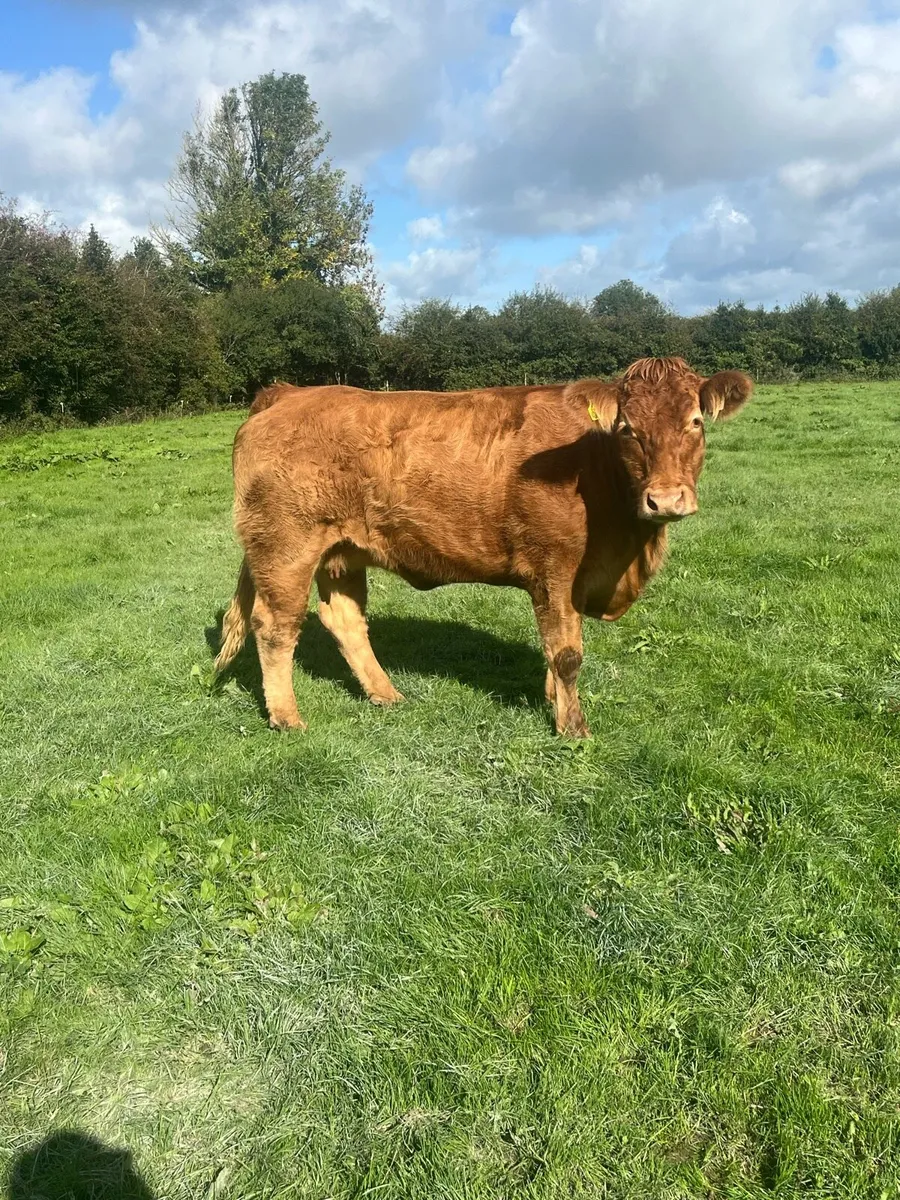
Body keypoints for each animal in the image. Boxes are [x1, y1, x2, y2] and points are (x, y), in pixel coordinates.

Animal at [214, 358, 752, 737]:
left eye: (696, 422)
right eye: (627, 429)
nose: (666, 499)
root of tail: (288, 393)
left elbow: (558, 647)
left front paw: (553, 701)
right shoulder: (553, 568)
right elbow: (567, 653)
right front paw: (572, 728)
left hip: (341, 552)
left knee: (344, 619)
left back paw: (387, 695)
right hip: (286, 547)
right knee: (275, 627)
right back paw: (287, 718)